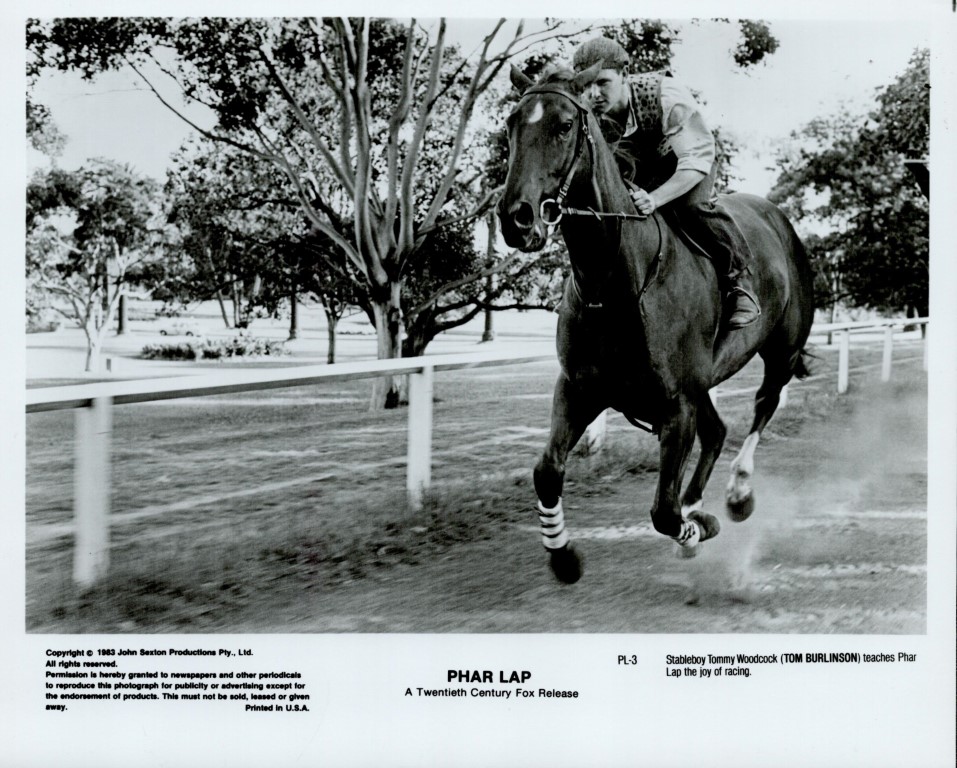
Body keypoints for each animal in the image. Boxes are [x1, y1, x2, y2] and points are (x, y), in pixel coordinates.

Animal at [498, 65, 814, 584]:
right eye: (511, 125)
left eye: (564, 125)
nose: (516, 218)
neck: (615, 283)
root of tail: (778, 218)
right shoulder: (579, 388)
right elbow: (546, 472)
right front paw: (563, 555)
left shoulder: (676, 404)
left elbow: (664, 512)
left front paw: (698, 527)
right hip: (705, 380)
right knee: (718, 431)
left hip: (781, 351)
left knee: (763, 406)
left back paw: (737, 494)